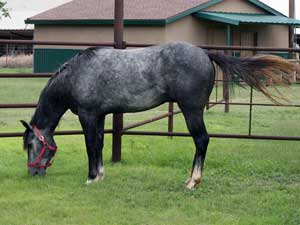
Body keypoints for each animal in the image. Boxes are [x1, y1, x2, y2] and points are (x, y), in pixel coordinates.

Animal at [20, 41, 296, 188]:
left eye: (32, 145)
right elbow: (98, 144)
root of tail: (205, 53)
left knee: (201, 141)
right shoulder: (99, 116)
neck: (77, 74)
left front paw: (90, 178)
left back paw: (192, 182)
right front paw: (99, 175)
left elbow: (90, 146)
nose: (32, 173)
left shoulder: (87, 116)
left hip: (192, 111)